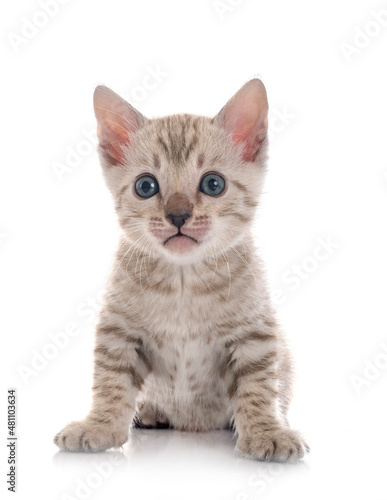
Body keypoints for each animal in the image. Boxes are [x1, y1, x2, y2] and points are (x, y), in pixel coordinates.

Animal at [54, 79, 310, 464]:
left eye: (213, 184)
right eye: (146, 186)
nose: (177, 215)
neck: (183, 280)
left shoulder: (254, 334)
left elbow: (258, 388)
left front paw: (267, 432)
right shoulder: (119, 332)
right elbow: (111, 384)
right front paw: (99, 427)